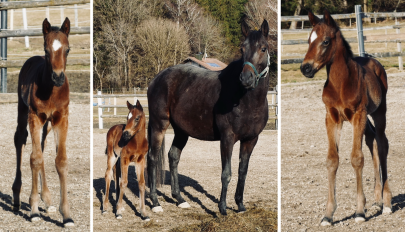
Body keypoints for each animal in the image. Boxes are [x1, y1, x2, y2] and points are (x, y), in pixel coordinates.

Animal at [12, 17, 74, 227]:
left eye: (67, 49)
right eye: (46, 51)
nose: (58, 77)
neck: (51, 90)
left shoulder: (61, 118)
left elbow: (60, 160)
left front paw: (66, 215)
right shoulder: (35, 117)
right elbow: (35, 159)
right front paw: (33, 210)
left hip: (47, 124)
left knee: (41, 145)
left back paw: (47, 199)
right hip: (23, 111)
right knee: (20, 141)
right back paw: (17, 197)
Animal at [147, 19, 270, 216]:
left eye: (263, 48)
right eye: (242, 48)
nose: (246, 78)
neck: (245, 99)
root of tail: (156, 79)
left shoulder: (251, 140)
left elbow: (242, 172)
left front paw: (240, 206)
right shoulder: (227, 138)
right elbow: (226, 173)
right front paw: (222, 208)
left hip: (181, 131)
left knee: (173, 157)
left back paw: (180, 199)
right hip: (159, 125)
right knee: (152, 157)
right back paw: (156, 203)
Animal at [300, 10, 392, 226]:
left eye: (325, 41)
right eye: (308, 40)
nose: (305, 68)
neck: (341, 83)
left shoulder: (358, 115)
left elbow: (357, 158)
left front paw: (359, 211)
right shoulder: (332, 118)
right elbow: (332, 160)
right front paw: (328, 214)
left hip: (378, 112)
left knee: (382, 143)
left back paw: (386, 203)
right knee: (372, 140)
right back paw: (377, 201)